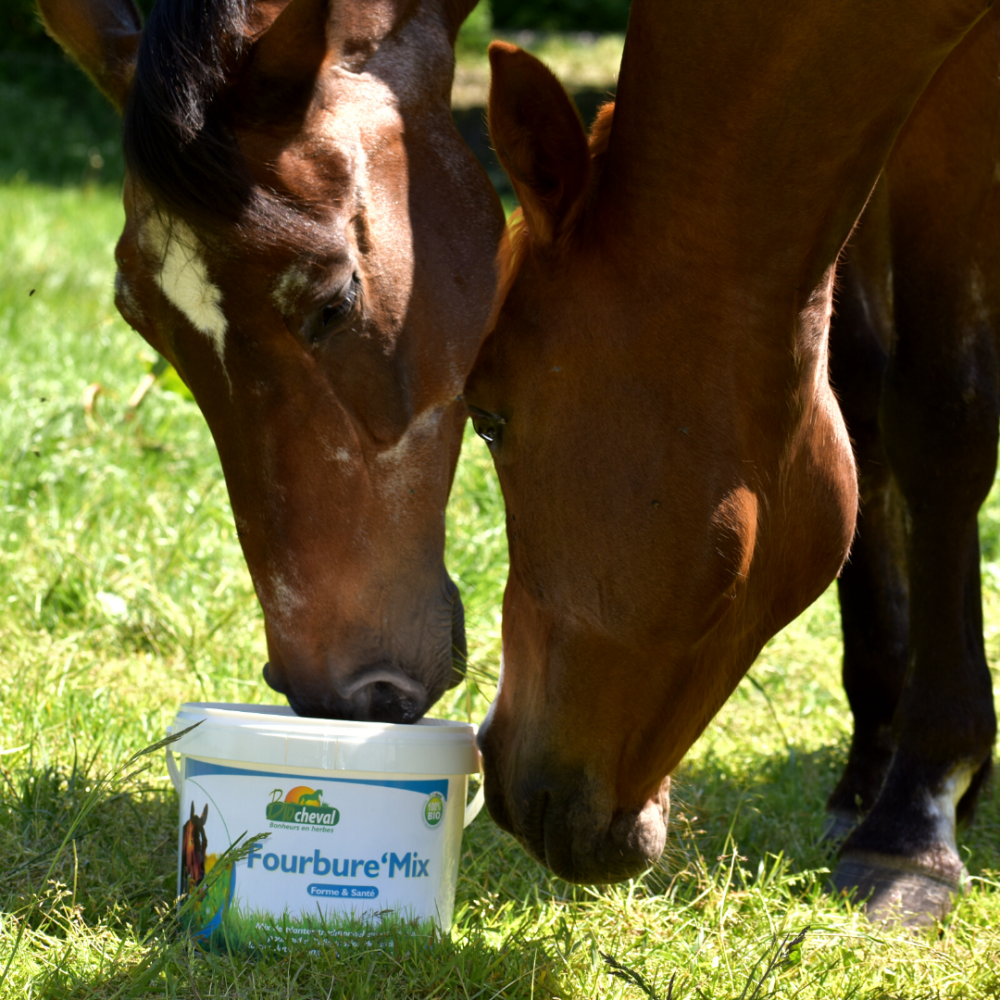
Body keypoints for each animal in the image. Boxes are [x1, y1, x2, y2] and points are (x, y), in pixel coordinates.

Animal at [464, 0, 997, 924]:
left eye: (487, 417)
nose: (499, 769)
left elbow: (942, 416)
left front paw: (917, 816)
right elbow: (865, 394)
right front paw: (877, 771)